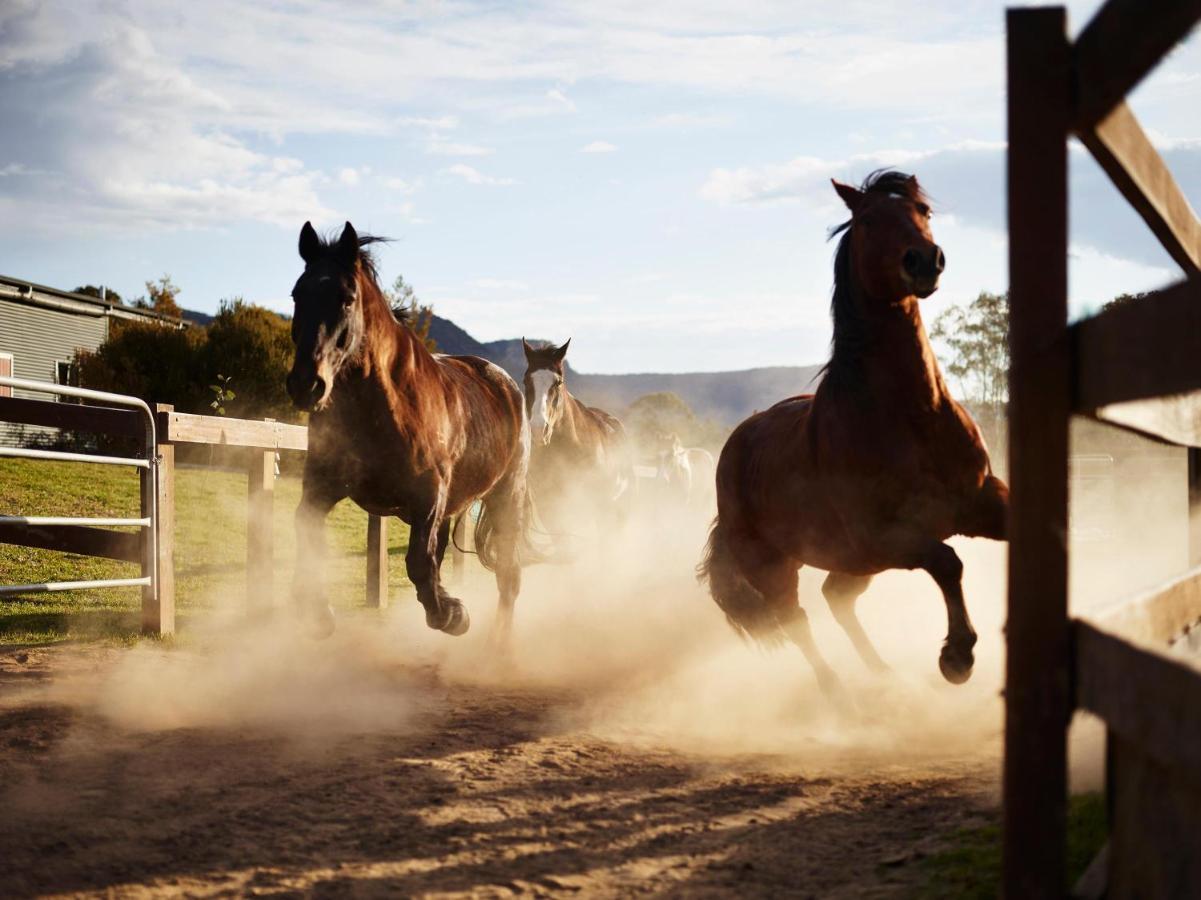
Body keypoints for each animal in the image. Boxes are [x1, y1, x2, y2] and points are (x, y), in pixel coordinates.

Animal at [284, 223, 535, 644]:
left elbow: (418, 562)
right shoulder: (322, 487)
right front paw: (319, 615)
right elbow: (305, 536)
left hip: (505, 496)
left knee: (508, 576)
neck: (384, 409)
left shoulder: (428, 496)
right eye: (297, 294)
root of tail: (506, 384)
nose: (307, 384)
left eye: (347, 298)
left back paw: (497, 645)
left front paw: (453, 616)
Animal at [701, 171, 1008, 696]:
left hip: (851, 563)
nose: (924, 260)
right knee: (797, 619)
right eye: (867, 220)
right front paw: (957, 656)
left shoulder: (979, 501)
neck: (911, 417)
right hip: (778, 565)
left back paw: (883, 673)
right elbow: (949, 562)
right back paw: (840, 692)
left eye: (923, 211)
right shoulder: (886, 536)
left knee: (836, 598)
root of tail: (735, 447)